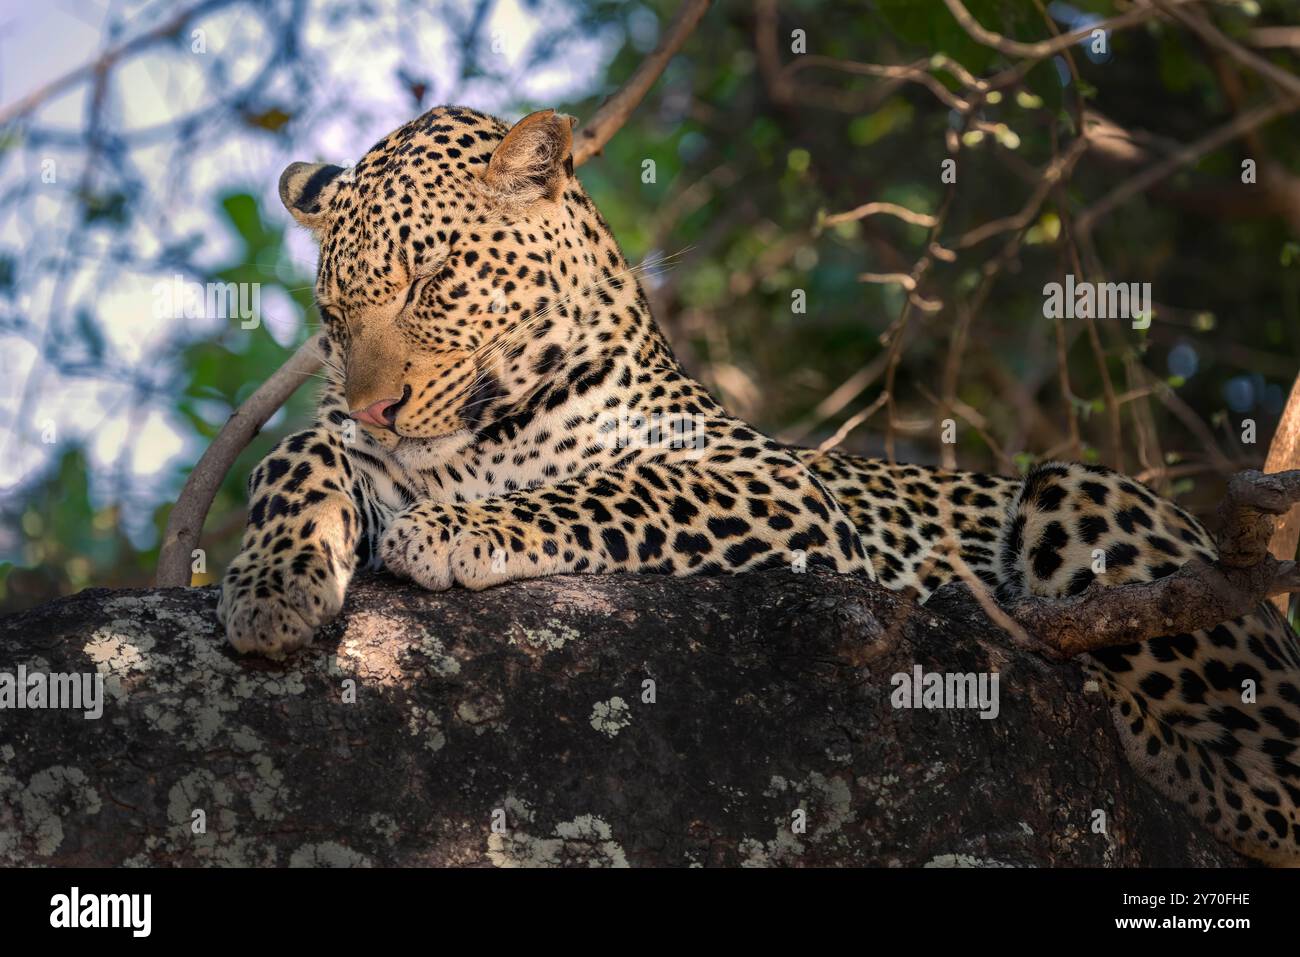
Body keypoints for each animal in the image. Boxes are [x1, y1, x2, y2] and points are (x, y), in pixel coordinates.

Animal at [216, 105, 1300, 865]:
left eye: (431, 282)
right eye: (332, 312)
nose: (374, 407)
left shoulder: (776, 487)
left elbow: (613, 490)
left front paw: (453, 526)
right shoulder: (353, 450)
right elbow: (294, 456)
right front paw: (272, 586)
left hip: (1085, 497)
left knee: (1279, 793)